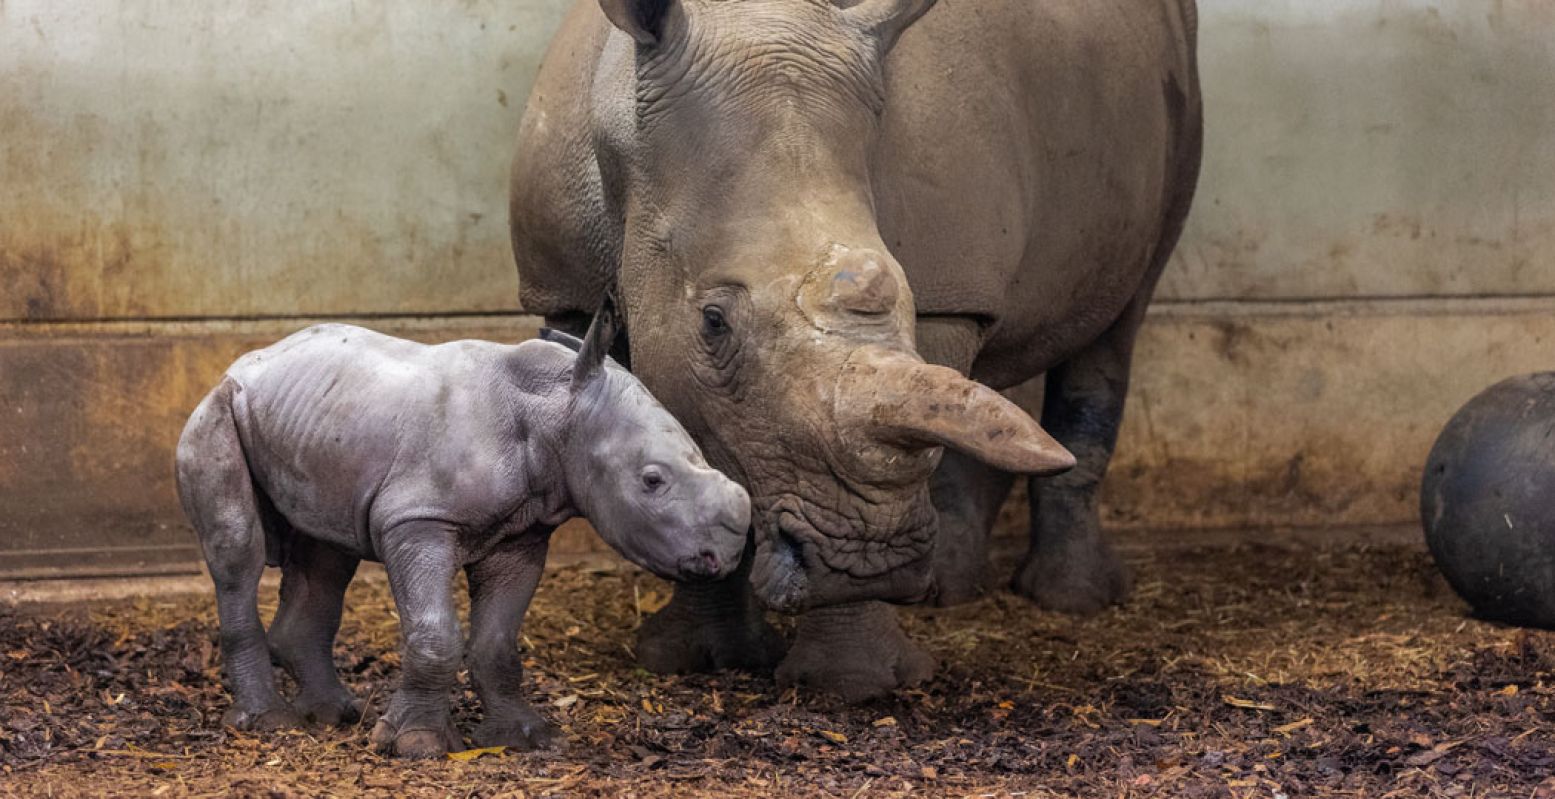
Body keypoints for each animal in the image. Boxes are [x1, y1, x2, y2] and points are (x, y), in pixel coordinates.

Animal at [173, 303, 749, 752]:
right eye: (652, 480)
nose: (725, 553)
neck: (558, 412)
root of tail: (248, 359)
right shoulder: (417, 517)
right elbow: (436, 632)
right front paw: (414, 744)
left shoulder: (521, 534)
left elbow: (498, 642)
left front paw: (526, 737)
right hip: (216, 411)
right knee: (238, 550)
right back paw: (270, 723)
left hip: (316, 426)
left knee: (327, 553)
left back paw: (335, 716)